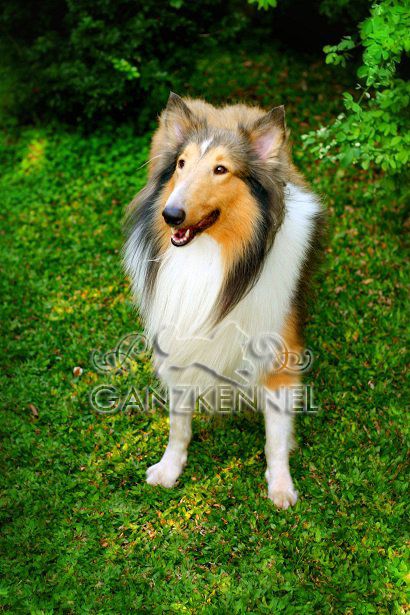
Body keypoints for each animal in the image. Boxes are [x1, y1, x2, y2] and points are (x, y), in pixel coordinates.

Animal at [123, 94, 326, 510]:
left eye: (221, 169)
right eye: (181, 164)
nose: (171, 215)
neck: (214, 258)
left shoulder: (281, 354)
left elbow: (275, 436)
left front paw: (281, 486)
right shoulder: (180, 339)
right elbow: (178, 424)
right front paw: (170, 468)